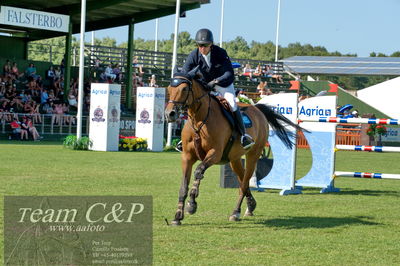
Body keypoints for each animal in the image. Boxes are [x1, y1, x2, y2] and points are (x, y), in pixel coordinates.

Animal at [164, 67, 302, 225]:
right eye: (169, 88)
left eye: (185, 89)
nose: (169, 114)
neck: (199, 121)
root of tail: (257, 109)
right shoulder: (187, 157)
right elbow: (183, 186)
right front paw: (177, 216)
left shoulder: (215, 153)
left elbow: (198, 171)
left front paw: (192, 205)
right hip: (234, 160)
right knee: (243, 180)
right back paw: (250, 206)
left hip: (253, 155)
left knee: (244, 183)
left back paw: (236, 212)